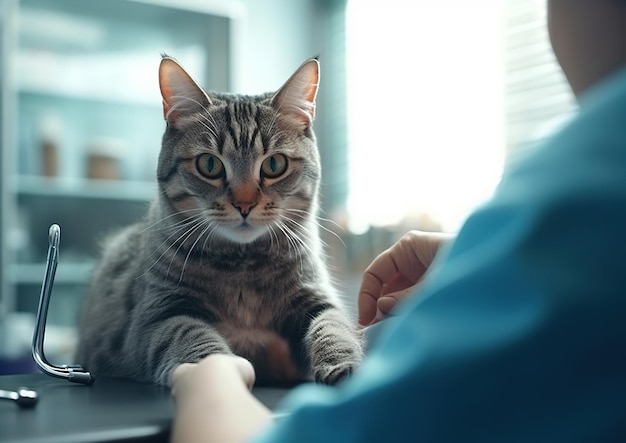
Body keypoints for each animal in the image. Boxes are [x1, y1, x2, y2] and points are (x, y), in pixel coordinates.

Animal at [75, 55, 364, 388]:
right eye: (210, 164)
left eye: (274, 164)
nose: (244, 204)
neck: (242, 265)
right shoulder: (158, 314)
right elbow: (190, 334)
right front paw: (216, 373)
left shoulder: (315, 298)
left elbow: (334, 327)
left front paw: (344, 365)